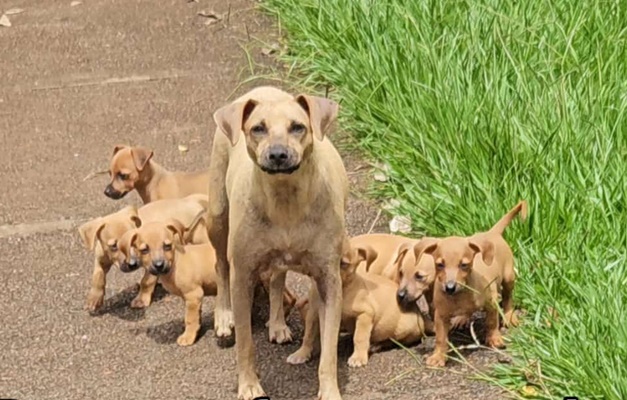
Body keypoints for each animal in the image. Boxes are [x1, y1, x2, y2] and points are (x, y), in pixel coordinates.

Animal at [78, 195, 209, 310]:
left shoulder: (152, 264)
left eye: (132, 240)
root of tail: (192, 201)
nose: (132, 264)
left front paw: (141, 300)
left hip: (200, 237)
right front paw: (94, 299)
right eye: (113, 246)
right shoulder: (101, 260)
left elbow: (146, 281)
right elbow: (97, 278)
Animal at [210, 87, 348, 400]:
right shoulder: (242, 275)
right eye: (258, 128)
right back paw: (223, 316)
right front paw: (249, 385)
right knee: (220, 264)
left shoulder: (329, 279)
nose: (277, 154)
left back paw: (277, 323)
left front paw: (329, 389)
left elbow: (330, 349)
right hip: (217, 215)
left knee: (276, 276)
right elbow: (245, 344)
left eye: (298, 126)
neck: (286, 200)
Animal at [288, 239, 426, 368]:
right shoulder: (313, 314)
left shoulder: (365, 314)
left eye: (344, 264)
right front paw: (301, 353)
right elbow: (308, 335)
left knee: (395, 340)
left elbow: (359, 337)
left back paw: (376, 345)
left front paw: (358, 357)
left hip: (403, 329)